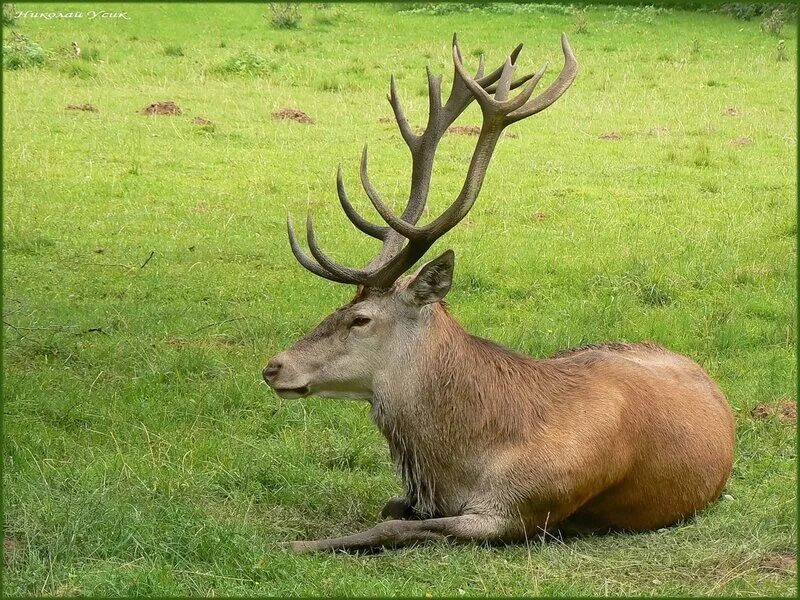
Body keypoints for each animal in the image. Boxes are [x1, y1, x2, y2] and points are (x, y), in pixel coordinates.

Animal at [260, 31, 732, 548]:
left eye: (360, 319)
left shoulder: (521, 510)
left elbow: (389, 526)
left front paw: (292, 543)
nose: (273, 367)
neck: (461, 464)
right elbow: (392, 508)